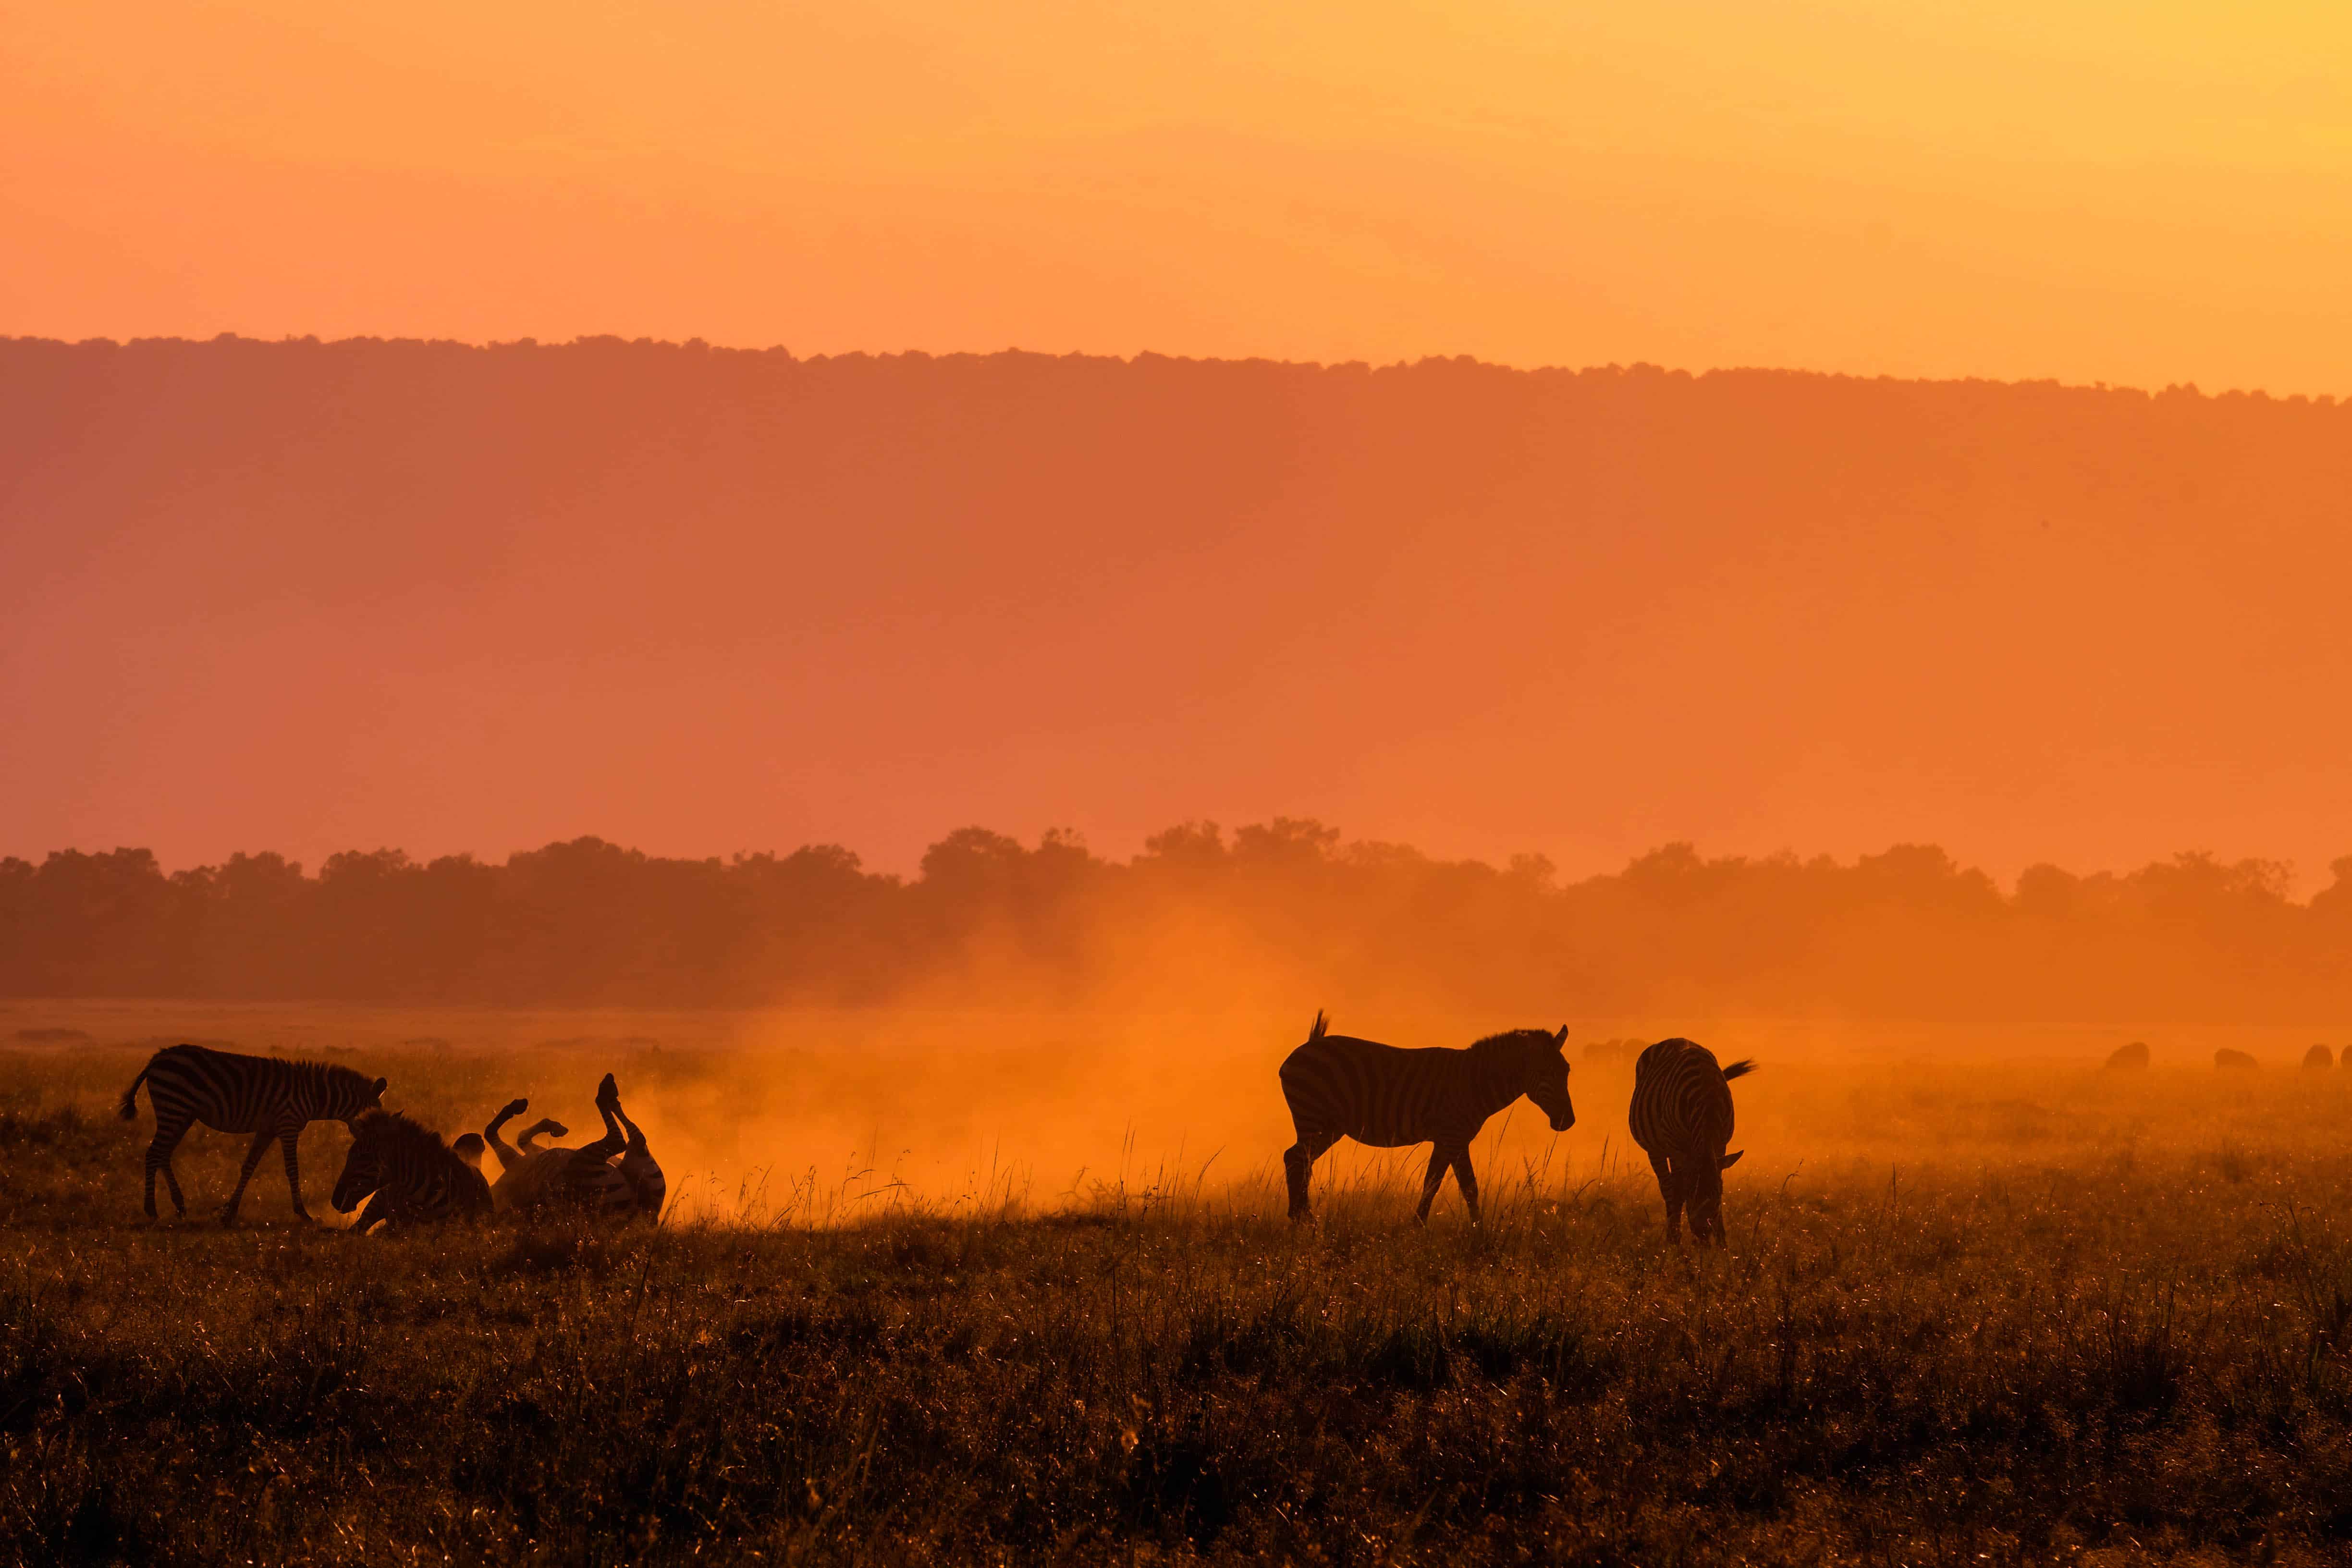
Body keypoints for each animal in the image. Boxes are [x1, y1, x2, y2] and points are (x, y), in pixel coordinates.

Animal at [117, 1043, 385, 1222]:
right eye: (377, 1120)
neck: (313, 1096)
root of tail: (159, 1056)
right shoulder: (288, 1125)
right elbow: (292, 1170)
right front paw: (303, 1213)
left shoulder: (268, 1129)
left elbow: (249, 1166)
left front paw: (230, 1211)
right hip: (173, 1107)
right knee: (154, 1154)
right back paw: (151, 1209)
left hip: (182, 1114)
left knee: (164, 1154)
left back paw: (180, 1205)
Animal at [477, 1081, 663, 1222]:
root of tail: (636, 1216)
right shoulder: (514, 1160)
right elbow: (491, 1131)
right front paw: (517, 1108)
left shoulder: (529, 1155)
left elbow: (519, 1136)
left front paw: (554, 1127)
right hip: (583, 1163)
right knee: (620, 1141)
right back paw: (607, 1092)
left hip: (648, 1174)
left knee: (636, 1138)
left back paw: (611, 1097)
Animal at [1279, 1011, 1571, 1232]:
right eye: (1547, 1073)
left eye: (1567, 1071)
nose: (1568, 1121)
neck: (1475, 1083)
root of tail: (1306, 1047)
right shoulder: (1453, 1137)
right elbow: (1461, 1186)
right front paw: (1474, 1232)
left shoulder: (1449, 1141)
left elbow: (1441, 1184)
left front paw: (1422, 1226)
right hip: (1313, 1119)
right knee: (1296, 1159)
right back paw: (1303, 1218)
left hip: (1328, 1127)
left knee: (1299, 1160)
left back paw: (1302, 1217)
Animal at [1628, 1043, 1759, 1250]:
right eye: (1692, 1194)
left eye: (1718, 1194)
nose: (1703, 1235)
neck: (1708, 1100)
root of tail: (1673, 1039)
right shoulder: (1676, 1145)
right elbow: (1678, 1189)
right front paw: (1677, 1241)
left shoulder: (1721, 1144)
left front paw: (1722, 1243)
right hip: (1656, 1148)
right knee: (1668, 1187)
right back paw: (1673, 1238)